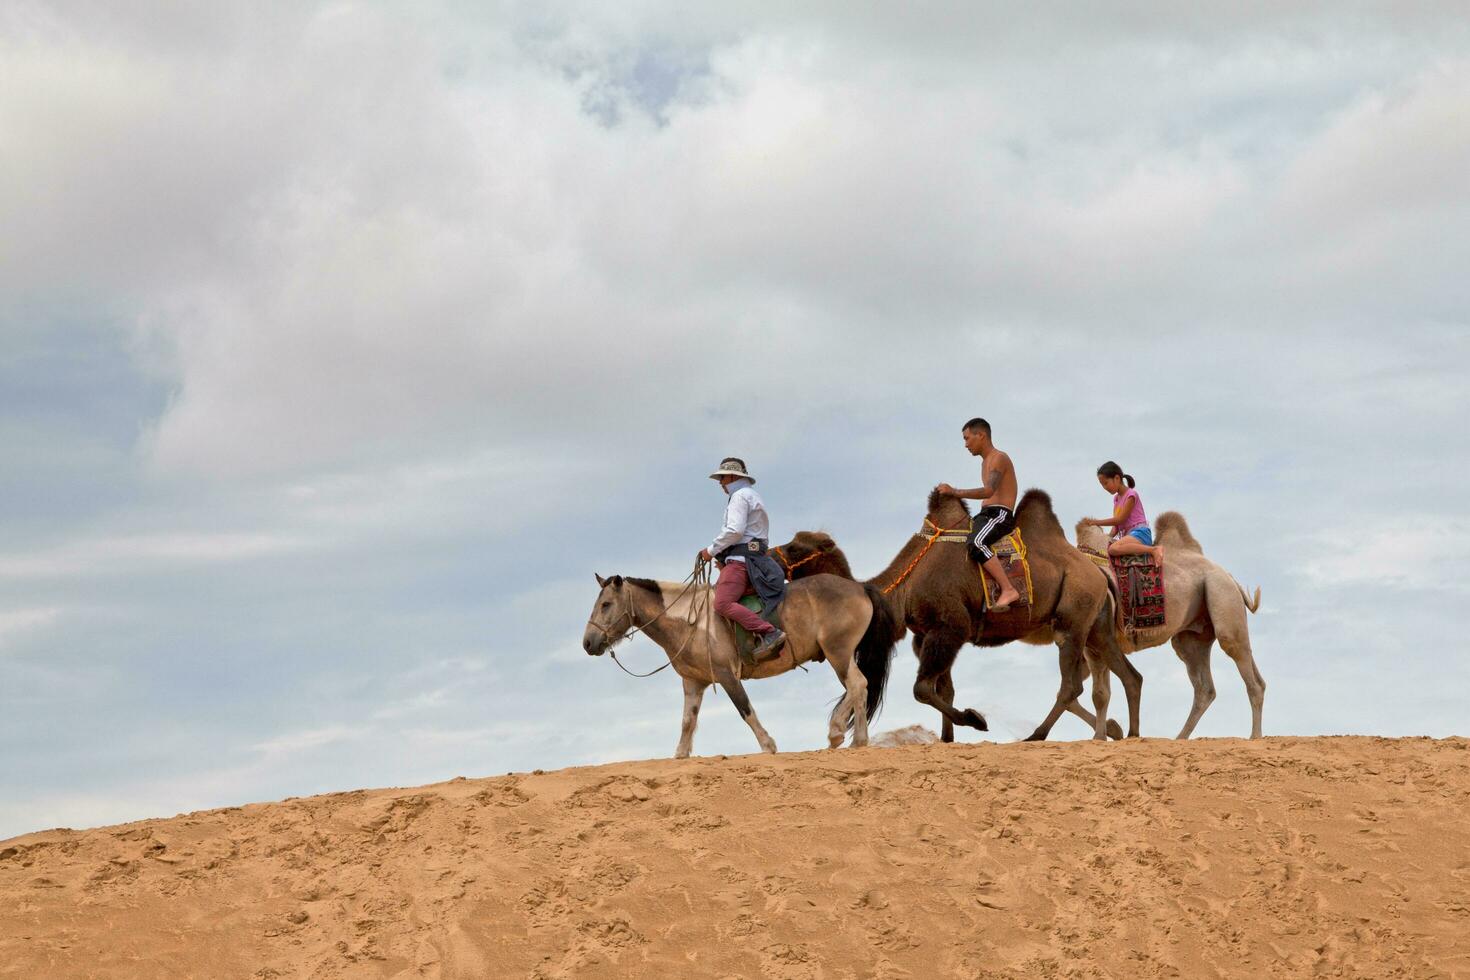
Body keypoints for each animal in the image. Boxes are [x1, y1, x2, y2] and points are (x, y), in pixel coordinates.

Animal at [582, 567, 899, 758]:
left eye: (606, 605)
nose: (588, 643)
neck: (689, 620)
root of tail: (861, 588)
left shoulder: (726, 675)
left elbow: (745, 709)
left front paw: (768, 745)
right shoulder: (693, 682)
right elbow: (687, 721)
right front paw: (680, 755)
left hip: (839, 652)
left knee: (857, 684)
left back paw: (844, 735)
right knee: (859, 687)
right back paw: (853, 736)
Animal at [776, 490, 1140, 743]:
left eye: (795, 548)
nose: (769, 555)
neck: (901, 589)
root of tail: (1098, 572)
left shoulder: (949, 627)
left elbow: (922, 689)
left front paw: (976, 719)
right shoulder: (926, 635)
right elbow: (944, 689)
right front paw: (947, 738)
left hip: (1072, 621)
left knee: (1070, 685)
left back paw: (1037, 735)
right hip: (1096, 626)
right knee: (1128, 675)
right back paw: (1129, 732)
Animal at [1076, 514, 1270, 734]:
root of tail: (1230, 577)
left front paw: (1109, 732)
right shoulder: (1092, 647)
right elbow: (1097, 694)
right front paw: (1104, 734)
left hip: (1222, 594)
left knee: (1243, 664)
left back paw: (1255, 736)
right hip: (1193, 634)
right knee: (1206, 686)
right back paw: (1179, 737)